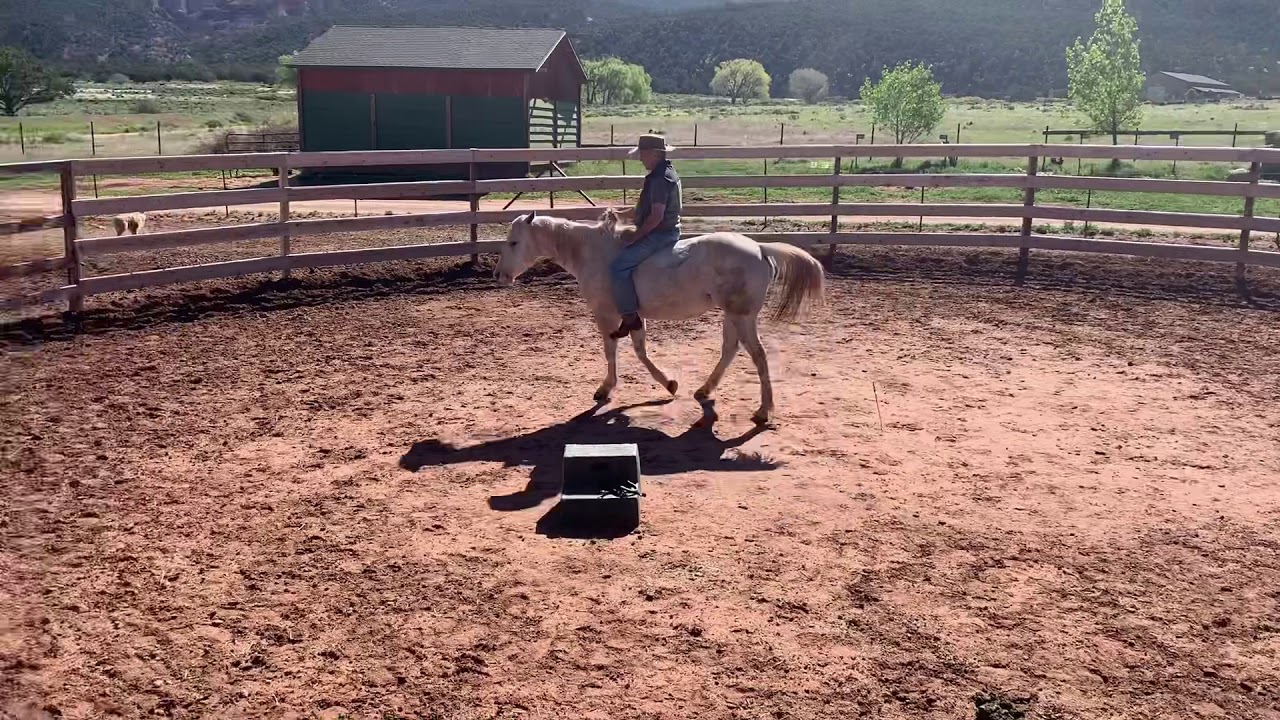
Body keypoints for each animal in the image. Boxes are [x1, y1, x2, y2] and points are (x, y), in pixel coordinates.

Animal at [492, 208, 825, 426]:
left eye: (513, 242)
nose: (498, 275)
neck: (596, 253)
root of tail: (759, 247)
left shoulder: (606, 314)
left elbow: (613, 351)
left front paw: (607, 389)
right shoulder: (633, 316)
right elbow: (639, 350)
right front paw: (669, 385)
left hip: (742, 316)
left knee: (758, 356)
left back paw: (764, 411)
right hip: (733, 316)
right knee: (730, 349)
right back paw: (704, 390)